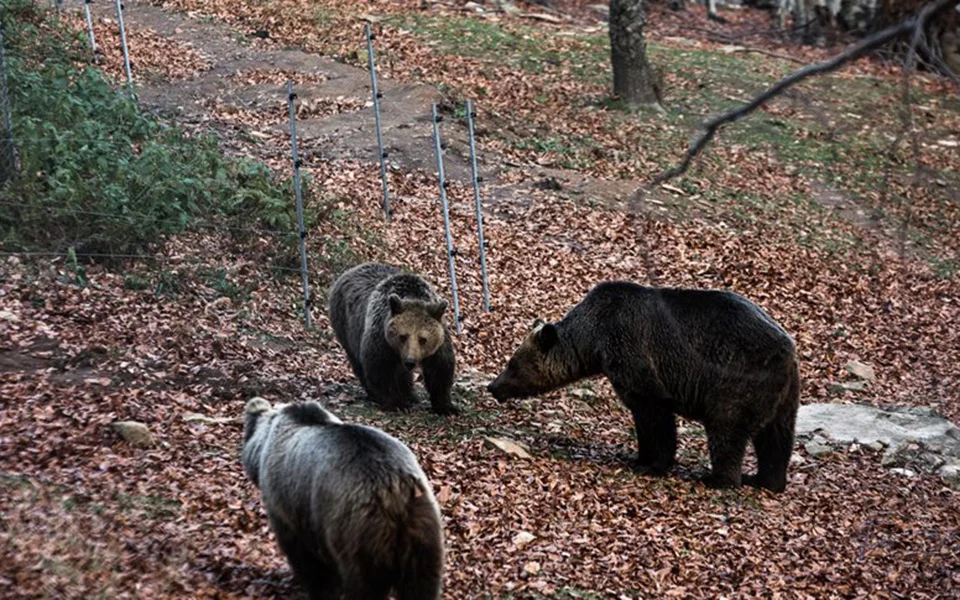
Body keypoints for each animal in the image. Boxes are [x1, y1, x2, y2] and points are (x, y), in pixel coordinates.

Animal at [241, 397, 445, 600]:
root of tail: (394, 491)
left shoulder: (290, 503)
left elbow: (306, 558)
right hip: (422, 530)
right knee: (422, 585)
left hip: (359, 531)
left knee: (364, 584)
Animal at [328, 262, 459, 415]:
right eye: (402, 336)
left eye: (423, 339)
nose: (410, 361)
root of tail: (350, 271)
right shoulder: (381, 337)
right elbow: (382, 368)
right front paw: (397, 403)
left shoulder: (440, 342)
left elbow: (440, 370)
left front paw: (446, 407)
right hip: (346, 325)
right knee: (358, 361)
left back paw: (411, 395)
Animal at [487, 281, 800, 493]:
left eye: (512, 364)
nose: (493, 386)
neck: (593, 339)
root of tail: (787, 348)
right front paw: (639, 456)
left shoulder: (633, 350)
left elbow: (653, 413)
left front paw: (649, 463)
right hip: (784, 392)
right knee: (776, 436)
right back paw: (764, 480)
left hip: (738, 377)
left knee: (727, 428)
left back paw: (718, 479)